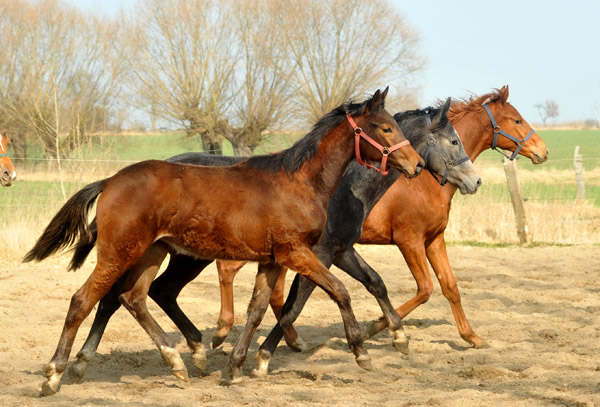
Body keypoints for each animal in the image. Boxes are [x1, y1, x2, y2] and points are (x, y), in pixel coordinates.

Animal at [24, 88, 426, 396]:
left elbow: (258, 309)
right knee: (84, 301)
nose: (418, 166)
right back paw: (54, 376)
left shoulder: (273, 259)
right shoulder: (299, 252)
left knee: (132, 297)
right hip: (120, 252)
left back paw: (178, 361)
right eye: (386, 127)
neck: (298, 183)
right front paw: (362, 352)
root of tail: (110, 181)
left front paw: (235, 368)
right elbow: (339, 291)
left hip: (152, 252)